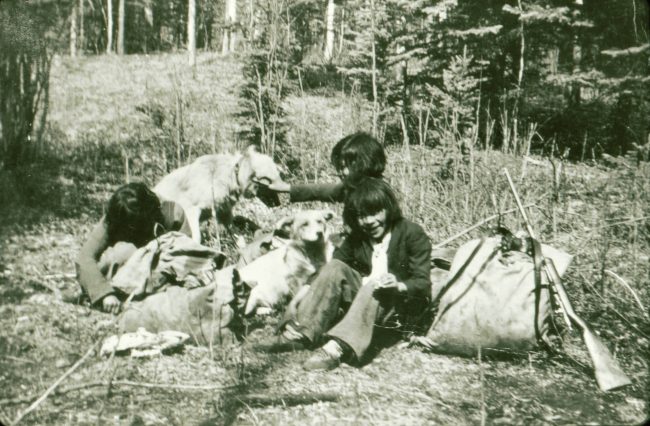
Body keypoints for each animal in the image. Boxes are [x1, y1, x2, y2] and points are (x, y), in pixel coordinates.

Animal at [154, 145, 284, 241]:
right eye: (266, 180)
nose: (278, 203)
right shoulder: (191, 210)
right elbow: (197, 238)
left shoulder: (224, 212)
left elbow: (236, 236)